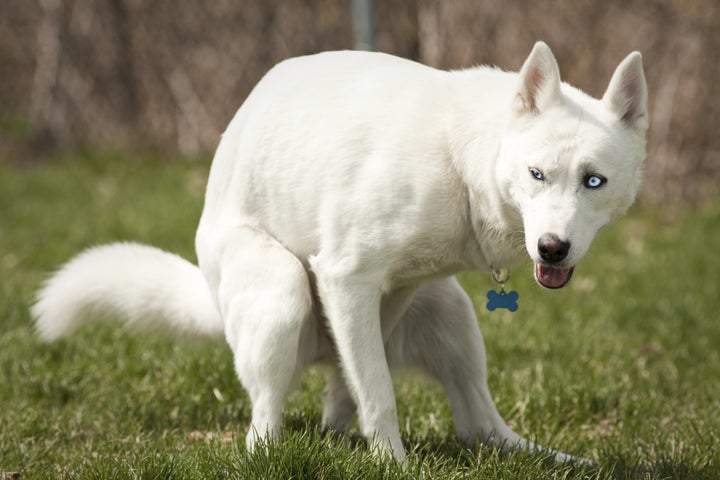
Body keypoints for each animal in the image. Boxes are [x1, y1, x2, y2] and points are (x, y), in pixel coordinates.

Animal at [33, 43, 648, 464]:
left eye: (594, 181)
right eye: (536, 174)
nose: (553, 248)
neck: (460, 159)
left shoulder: (393, 291)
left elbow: (357, 384)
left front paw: (361, 443)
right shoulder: (345, 279)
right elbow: (378, 393)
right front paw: (393, 464)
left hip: (450, 313)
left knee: (480, 426)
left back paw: (558, 460)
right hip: (282, 294)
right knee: (263, 417)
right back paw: (267, 452)